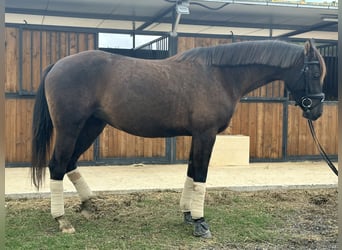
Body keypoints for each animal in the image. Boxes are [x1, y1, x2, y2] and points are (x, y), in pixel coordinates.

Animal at [31, 39, 326, 236]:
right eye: (313, 72)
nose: (317, 111)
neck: (220, 75)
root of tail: (57, 64)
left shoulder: (198, 135)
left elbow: (191, 171)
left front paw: (187, 213)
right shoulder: (206, 135)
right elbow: (201, 174)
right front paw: (200, 222)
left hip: (92, 126)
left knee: (69, 162)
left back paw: (89, 204)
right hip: (70, 128)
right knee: (57, 164)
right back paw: (62, 219)